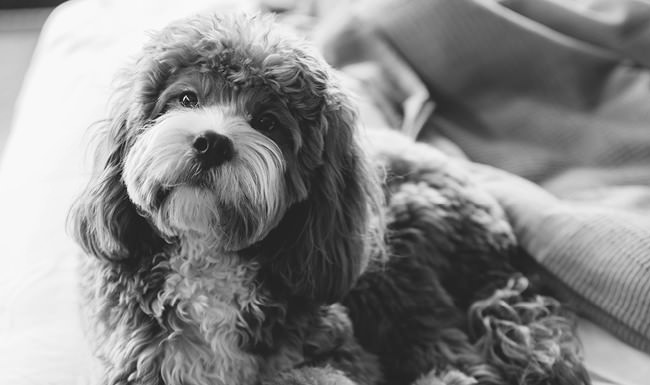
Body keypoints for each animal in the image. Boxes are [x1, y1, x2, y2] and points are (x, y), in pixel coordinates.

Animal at [68, 12, 588, 384]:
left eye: (268, 122)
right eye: (186, 99)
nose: (211, 143)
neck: (209, 254)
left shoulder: (338, 349)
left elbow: (311, 375)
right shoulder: (138, 361)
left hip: (393, 262)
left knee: (452, 352)